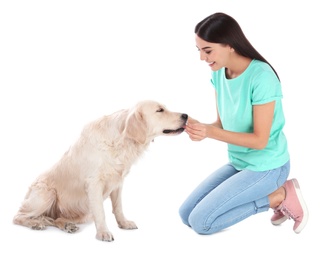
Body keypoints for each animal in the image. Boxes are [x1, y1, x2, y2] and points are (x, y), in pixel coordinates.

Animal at [13, 100, 187, 242]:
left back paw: (66, 225)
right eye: (160, 110)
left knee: (56, 219)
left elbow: (118, 207)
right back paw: (36, 223)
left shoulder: (118, 182)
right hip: (47, 194)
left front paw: (124, 223)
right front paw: (103, 233)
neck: (121, 141)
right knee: (18, 216)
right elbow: (101, 212)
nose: (185, 115)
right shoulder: (94, 183)